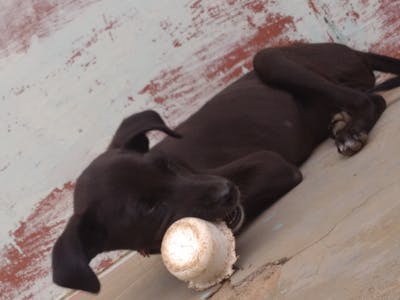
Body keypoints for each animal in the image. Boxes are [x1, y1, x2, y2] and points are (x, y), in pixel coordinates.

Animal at [51, 42, 398, 292]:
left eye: (167, 165)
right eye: (149, 209)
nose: (227, 192)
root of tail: (353, 52)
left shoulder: (270, 163)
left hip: (267, 58)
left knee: (370, 100)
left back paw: (350, 131)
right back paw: (340, 122)